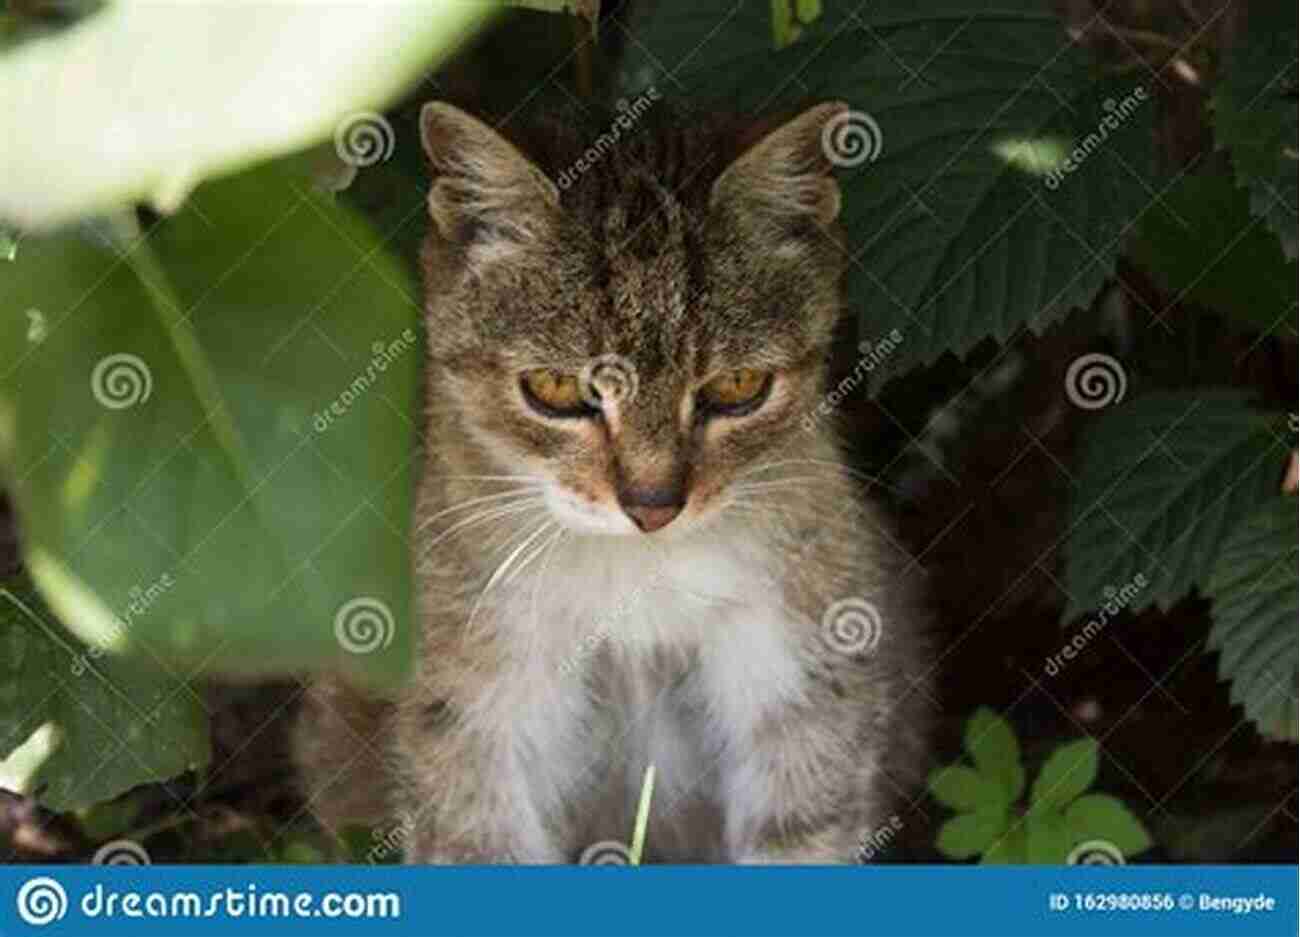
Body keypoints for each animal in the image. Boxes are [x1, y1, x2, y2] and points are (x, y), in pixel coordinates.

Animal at [295, 96, 930, 862]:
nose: (652, 504)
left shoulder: (806, 691)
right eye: (555, 389)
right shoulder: (472, 717)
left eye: (738, 387)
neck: (638, 578)